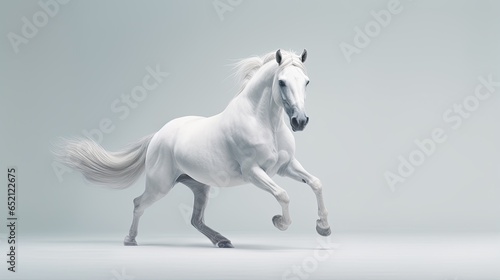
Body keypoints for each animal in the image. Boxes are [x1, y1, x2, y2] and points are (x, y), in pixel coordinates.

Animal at [55, 48, 332, 247]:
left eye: (306, 82)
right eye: (282, 82)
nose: (300, 121)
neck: (265, 124)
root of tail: (158, 136)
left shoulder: (285, 167)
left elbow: (316, 183)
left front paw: (324, 228)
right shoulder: (254, 171)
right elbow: (283, 194)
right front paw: (280, 223)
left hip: (199, 186)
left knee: (195, 219)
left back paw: (222, 241)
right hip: (160, 185)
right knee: (138, 203)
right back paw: (130, 240)